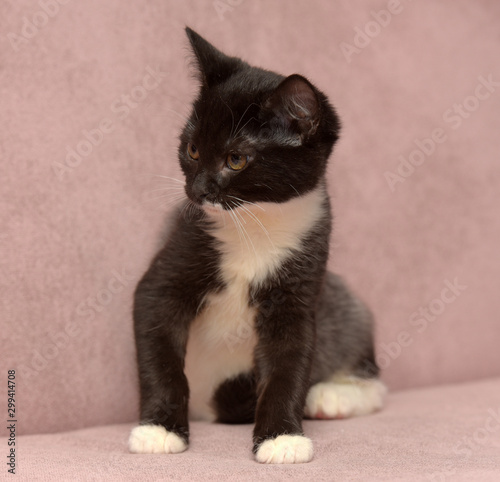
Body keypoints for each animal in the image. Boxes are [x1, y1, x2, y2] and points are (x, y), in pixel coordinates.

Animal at [129, 28, 386, 466]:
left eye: (236, 159)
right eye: (192, 149)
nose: (197, 191)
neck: (254, 223)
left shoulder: (302, 279)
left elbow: (290, 360)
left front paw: (282, 437)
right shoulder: (179, 247)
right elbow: (158, 345)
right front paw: (159, 428)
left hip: (339, 300)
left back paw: (332, 396)